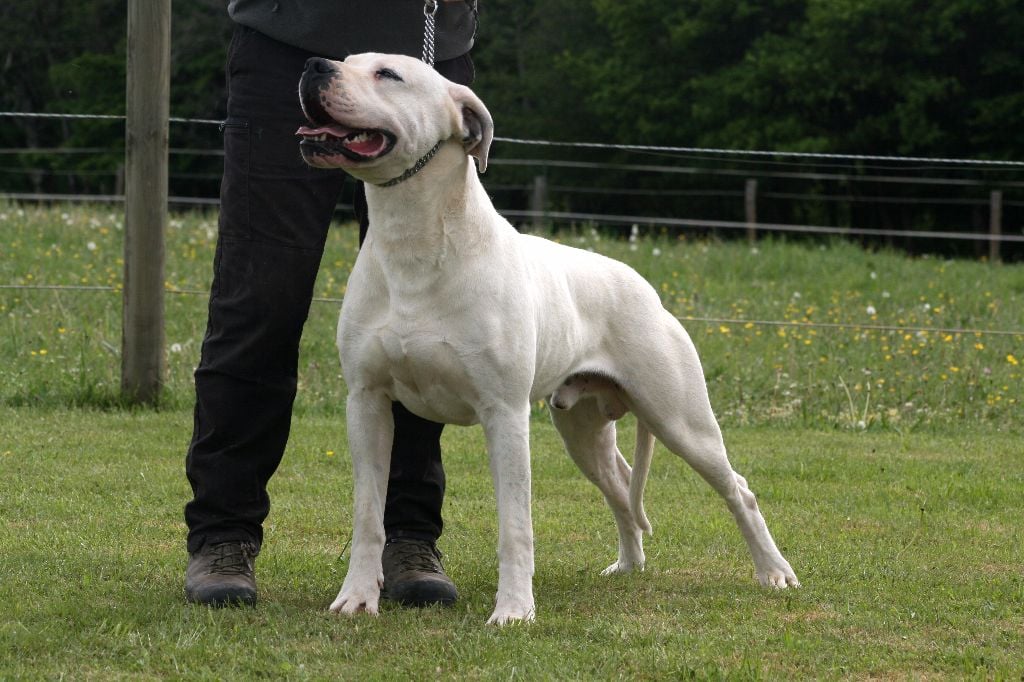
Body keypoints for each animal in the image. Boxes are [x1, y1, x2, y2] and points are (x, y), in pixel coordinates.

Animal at [297, 53, 799, 625]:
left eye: (388, 74)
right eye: (346, 60)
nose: (315, 64)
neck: (413, 240)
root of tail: (645, 288)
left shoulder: (505, 413)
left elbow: (516, 525)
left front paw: (514, 611)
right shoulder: (367, 404)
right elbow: (367, 514)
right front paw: (357, 597)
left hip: (682, 422)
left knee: (739, 490)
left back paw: (773, 572)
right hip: (583, 431)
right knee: (621, 487)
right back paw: (629, 566)